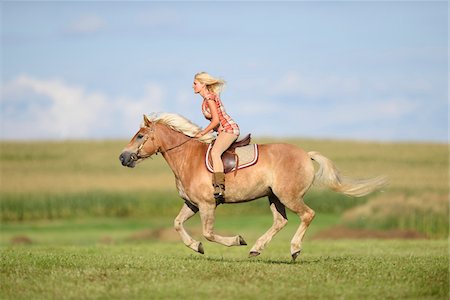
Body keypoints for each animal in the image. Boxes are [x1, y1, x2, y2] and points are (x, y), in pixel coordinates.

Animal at [119, 112, 386, 260]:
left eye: (140, 136)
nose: (123, 157)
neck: (188, 157)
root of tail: (305, 154)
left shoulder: (207, 205)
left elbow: (208, 232)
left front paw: (237, 240)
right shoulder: (192, 204)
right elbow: (177, 225)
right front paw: (197, 247)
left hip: (289, 196)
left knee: (307, 215)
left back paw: (293, 249)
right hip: (274, 197)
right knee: (280, 221)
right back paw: (257, 248)